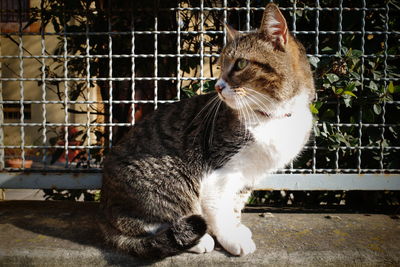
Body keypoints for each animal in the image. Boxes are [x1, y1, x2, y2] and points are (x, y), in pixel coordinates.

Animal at [100, 3, 316, 260]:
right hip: (172, 176)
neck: (270, 117)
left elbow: (235, 205)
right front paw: (231, 238)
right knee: (143, 223)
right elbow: (219, 208)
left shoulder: (249, 174)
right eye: (221, 66)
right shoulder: (219, 170)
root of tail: (104, 208)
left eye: (240, 64)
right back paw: (198, 240)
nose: (218, 86)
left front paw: (236, 228)